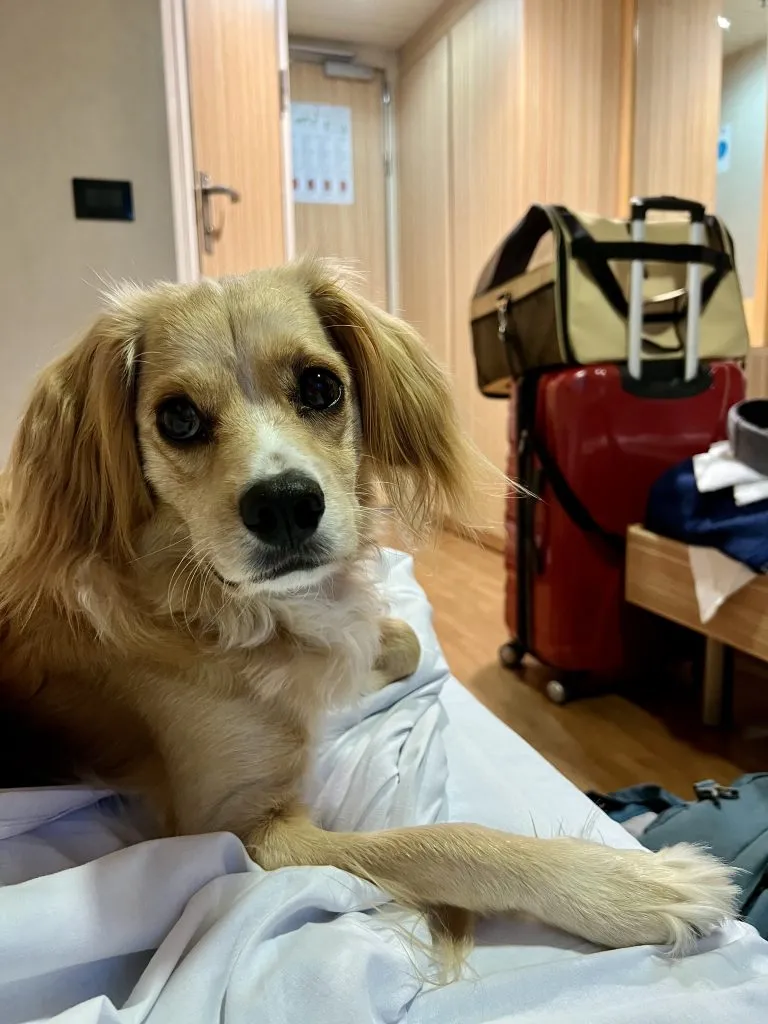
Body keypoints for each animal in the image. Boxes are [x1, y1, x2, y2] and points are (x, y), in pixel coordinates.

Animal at [0, 260, 737, 946]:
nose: (285, 505)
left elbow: (402, 641)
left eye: (321, 387)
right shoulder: (237, 830)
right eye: (177, 417)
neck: (226, 609)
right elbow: (438, 842)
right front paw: (625, 886)